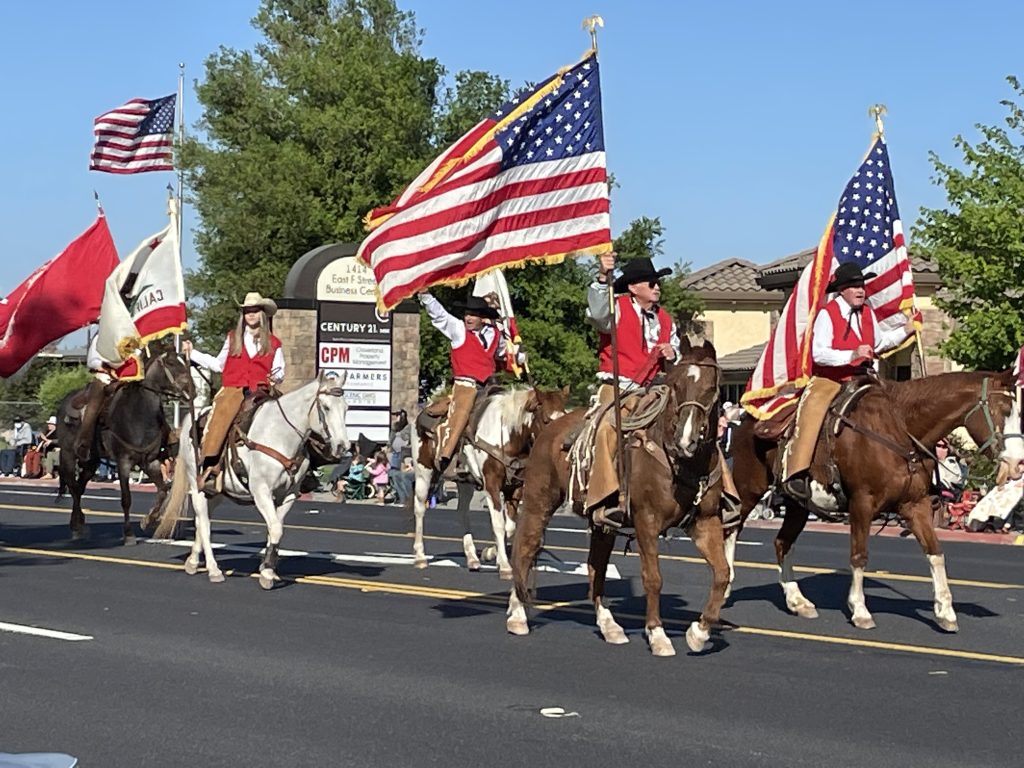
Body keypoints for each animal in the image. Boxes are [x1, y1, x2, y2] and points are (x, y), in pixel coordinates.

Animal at [151, 372, 350, 589]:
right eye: (326, 407)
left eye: (346, 407)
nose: (343, 446)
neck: (279, 436)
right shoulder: (261, 492)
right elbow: (276, 529)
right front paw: (267, 573)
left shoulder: (288, 495)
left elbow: (275, 529)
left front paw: (268, 569)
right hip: (197, 487)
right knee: (204, 525)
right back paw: (213, 570)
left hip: (216, 492)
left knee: (201, 521)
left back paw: (193, 561)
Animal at [407, 385, 569, 577]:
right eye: (545, 419)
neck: (508, 435)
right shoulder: (491, 484)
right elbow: (499, 524)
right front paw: (505, 566)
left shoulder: (515, 487)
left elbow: (510, 527)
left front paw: (491, 554)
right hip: (423, 472)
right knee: (419, 509)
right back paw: (420, 557)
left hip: (464, 482)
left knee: (462, 512)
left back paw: (472, 559)